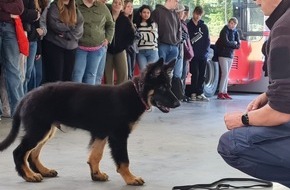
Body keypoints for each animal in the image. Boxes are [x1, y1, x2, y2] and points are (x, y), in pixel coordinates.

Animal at [0, 58, 180, 186]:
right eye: (162, 88)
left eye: (169, 85)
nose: (178, 103)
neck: (136, 93)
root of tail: (26, 96)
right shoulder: (118, 136)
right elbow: (124, 160)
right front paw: (130, 178)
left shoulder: (102, 133)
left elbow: (95, 155)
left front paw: (96, 175)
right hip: (39, 129)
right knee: (19, 152)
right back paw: (29, 176)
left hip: (47, 130)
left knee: (32, 153)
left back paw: (43, 171)